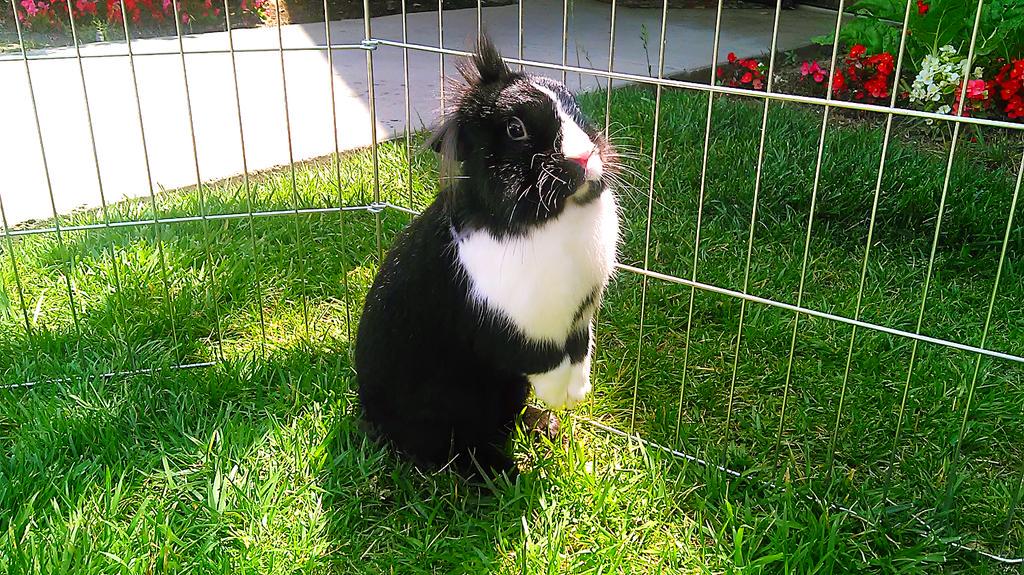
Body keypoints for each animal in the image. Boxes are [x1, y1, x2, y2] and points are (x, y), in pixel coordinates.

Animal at [355, 34, 620, 477]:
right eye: (516, 129)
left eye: (575, 109)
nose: (584, 159)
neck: (550, 217)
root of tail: (372, 419)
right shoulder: (515, 327)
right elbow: (544, 360)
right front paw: (563, 397)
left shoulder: (580, 319)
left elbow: (581, 349)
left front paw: (577, 392)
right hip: (452, 409)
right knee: (453, 449)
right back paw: (500, 470)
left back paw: (545, 428)